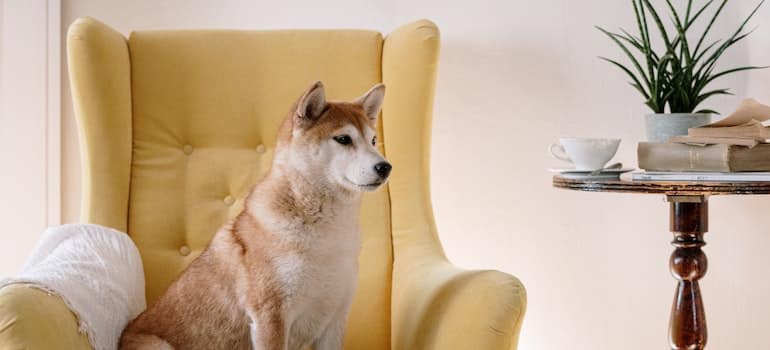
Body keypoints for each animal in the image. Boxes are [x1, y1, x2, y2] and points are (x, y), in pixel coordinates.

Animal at [120, 80, 390, 350]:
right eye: (343, 139)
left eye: (373, 140)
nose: (385, 167)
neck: (328, 235)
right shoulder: (270, 316)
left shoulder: (334, 319)